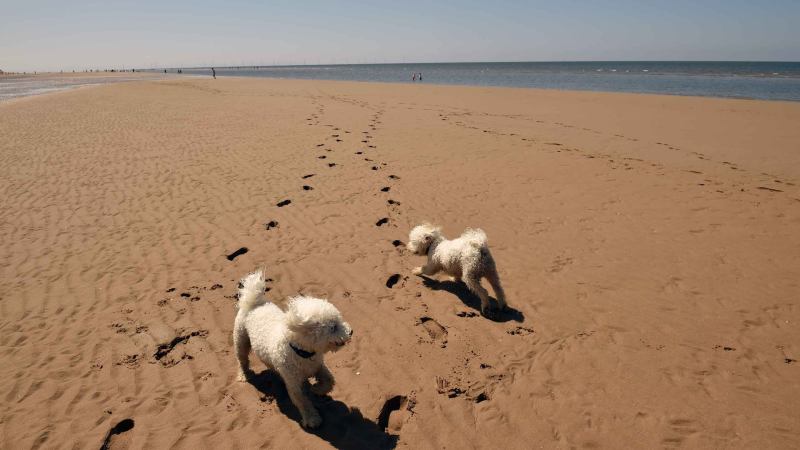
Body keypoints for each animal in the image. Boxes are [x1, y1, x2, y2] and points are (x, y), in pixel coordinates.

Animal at [233, 270, 354, 428]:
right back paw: (243, 375)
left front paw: (317, 389)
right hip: (240, 339)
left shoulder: (318, 366)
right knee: (242, 359)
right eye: (333, 327)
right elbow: (302, 401)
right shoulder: (293, 383)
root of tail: (254, 303)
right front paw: (312, 418)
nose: (351, 332)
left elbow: (329, 379)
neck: (302, 352)